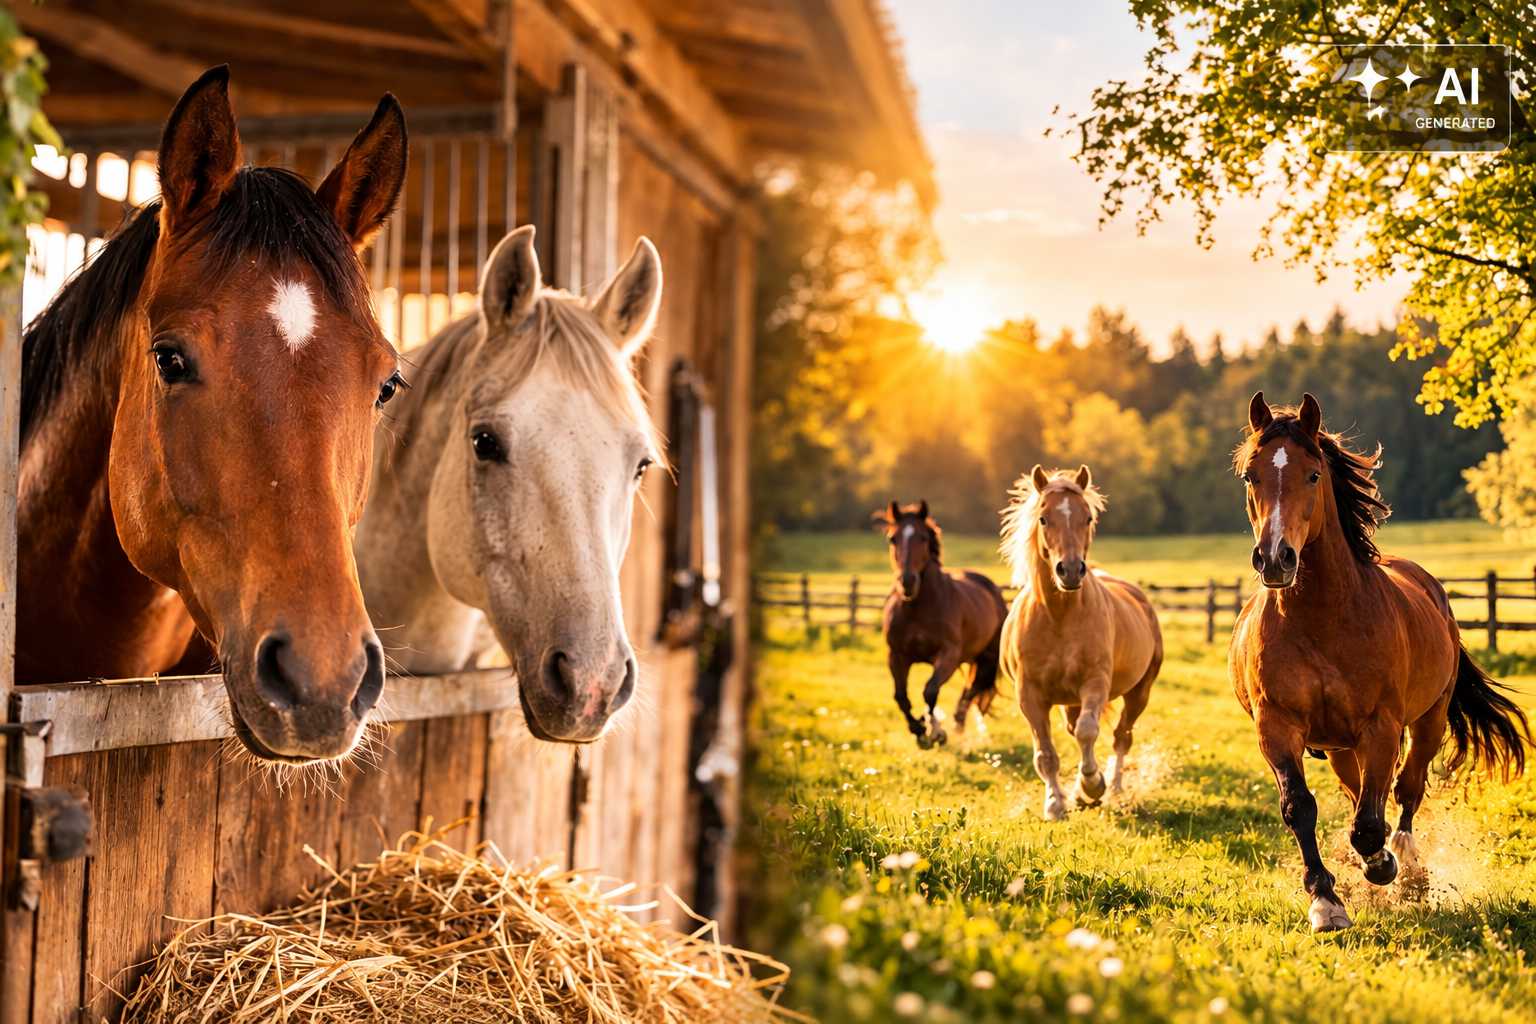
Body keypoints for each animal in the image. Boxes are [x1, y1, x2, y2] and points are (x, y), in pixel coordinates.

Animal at [877, 501, 1007, 748]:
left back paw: (957, 731)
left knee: (969, 694)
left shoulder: (948, 655)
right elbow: (901, 696)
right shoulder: (896, 655)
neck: (918, 608)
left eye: (923, 538)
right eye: (892, 538)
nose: (907, 581)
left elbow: (930, 690)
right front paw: (918, 728)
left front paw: (935, 730)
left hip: (986, 659)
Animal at [999, 465, 1162, 820]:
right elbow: (1045, 753)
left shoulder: (1095, 683)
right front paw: (1056, 803)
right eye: (1044, 518)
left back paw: (1113, 787)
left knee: (1120, 737)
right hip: (1070, 701)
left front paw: (1091, 785)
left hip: (1138, 693)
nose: (1071, 571)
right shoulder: (1029, 695)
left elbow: (1089, 731)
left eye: (1087, 517)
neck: (1059, 617)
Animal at [1230, 392, 1530, 932]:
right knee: (1362, 792)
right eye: (1250, 475)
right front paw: (1326, 902)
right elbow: (1300, 808)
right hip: (1340, 748)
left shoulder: (1381, 726)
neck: (1322, 620)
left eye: (1313, 474)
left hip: (1428, 721)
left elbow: (1372, 822)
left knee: (1408, 788)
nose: (1276, 559)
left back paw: (1408, 865)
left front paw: (1382, 865)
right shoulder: (1277, 726)